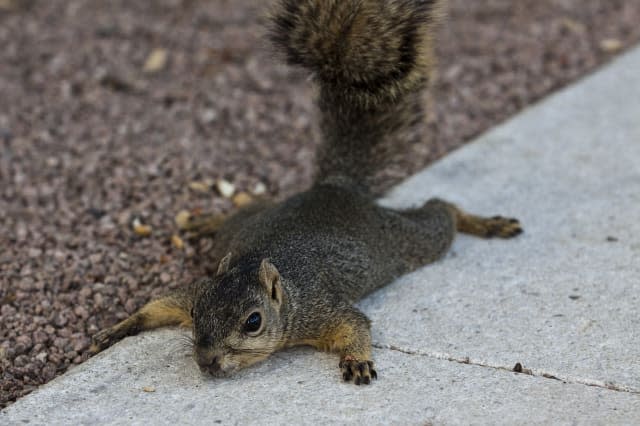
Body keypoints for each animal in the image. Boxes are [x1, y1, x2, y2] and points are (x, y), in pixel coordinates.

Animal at [89, 0, 520, 386]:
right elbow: (161, 303)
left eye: (254, 322)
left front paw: (358, 360)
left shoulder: (320, 309)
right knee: (251, 208)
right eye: (196, 312)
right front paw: (119, 327)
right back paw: (206, 220)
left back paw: (485, 223)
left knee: (440, 212)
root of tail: (334, 187)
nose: (207, 362)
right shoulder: (196, 287)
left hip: (407, 241)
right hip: (244, 226)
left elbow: (355, 323)